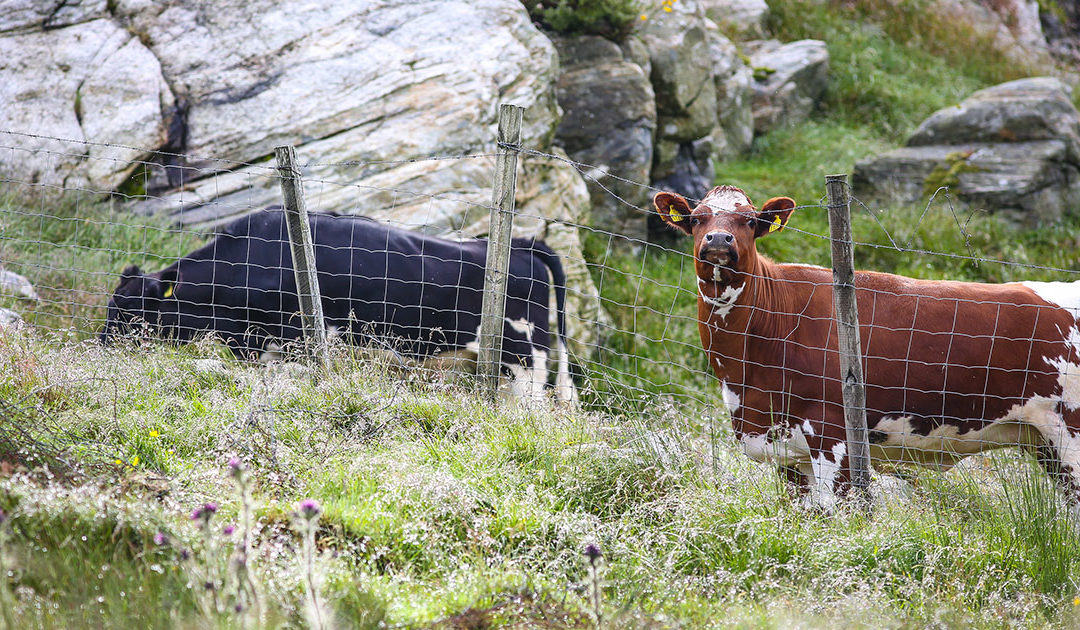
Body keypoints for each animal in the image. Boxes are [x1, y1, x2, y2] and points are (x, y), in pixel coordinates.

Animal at [648, 184, 1080, 510]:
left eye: (751, 221)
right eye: (697, 218)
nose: (719, 240)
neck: (745, 374)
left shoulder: (833, 435)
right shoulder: (787, 451)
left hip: (1070, 431)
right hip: (1043, 442)